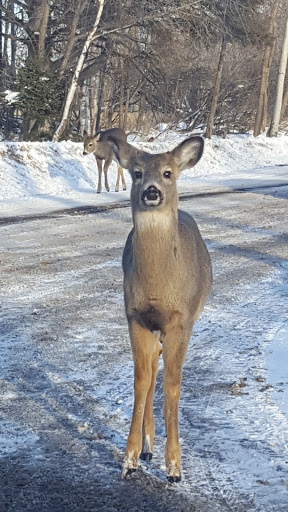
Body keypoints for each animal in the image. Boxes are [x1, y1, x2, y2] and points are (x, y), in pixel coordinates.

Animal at [107, 134, 213, 482]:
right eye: (137, 172)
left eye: (168, 173)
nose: (151, 191)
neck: (157, 288)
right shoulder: (135, 317)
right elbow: (142, 382)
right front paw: (129, 461)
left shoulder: (182, 320)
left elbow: (173, 386)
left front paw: (175, 468)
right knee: (153, 370)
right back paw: (147, 448)